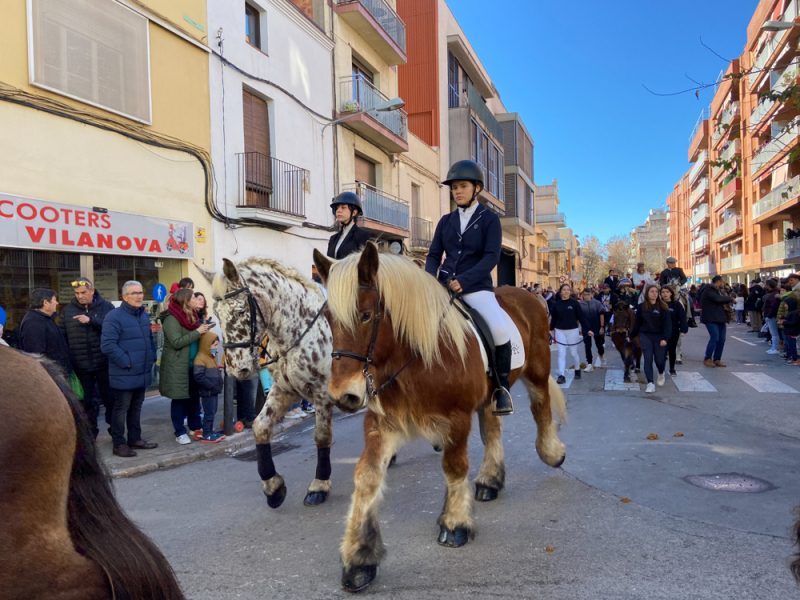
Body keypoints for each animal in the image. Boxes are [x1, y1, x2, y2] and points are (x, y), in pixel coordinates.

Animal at [209, 256, 334, 506]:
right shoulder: (285, 390)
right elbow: (260, 427)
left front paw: (319, 484)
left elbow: (322, 435)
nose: (235, 368)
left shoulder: (322, 392)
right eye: (216, 313)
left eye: (240, 311)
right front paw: (273, 486)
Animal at [312, 241, 568, 592]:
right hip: (490, 394)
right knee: (493, 428)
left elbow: (454, 467)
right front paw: (359, 556)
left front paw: (455, 523)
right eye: (327, 318)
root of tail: (531, 296)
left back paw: (551, 452)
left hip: (538, 370)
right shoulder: (382, 424)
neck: (417, 356)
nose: (343, 395)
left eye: (365, 315)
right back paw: (490, 480)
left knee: (540, 407)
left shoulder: (457, 419)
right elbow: (366, 476)